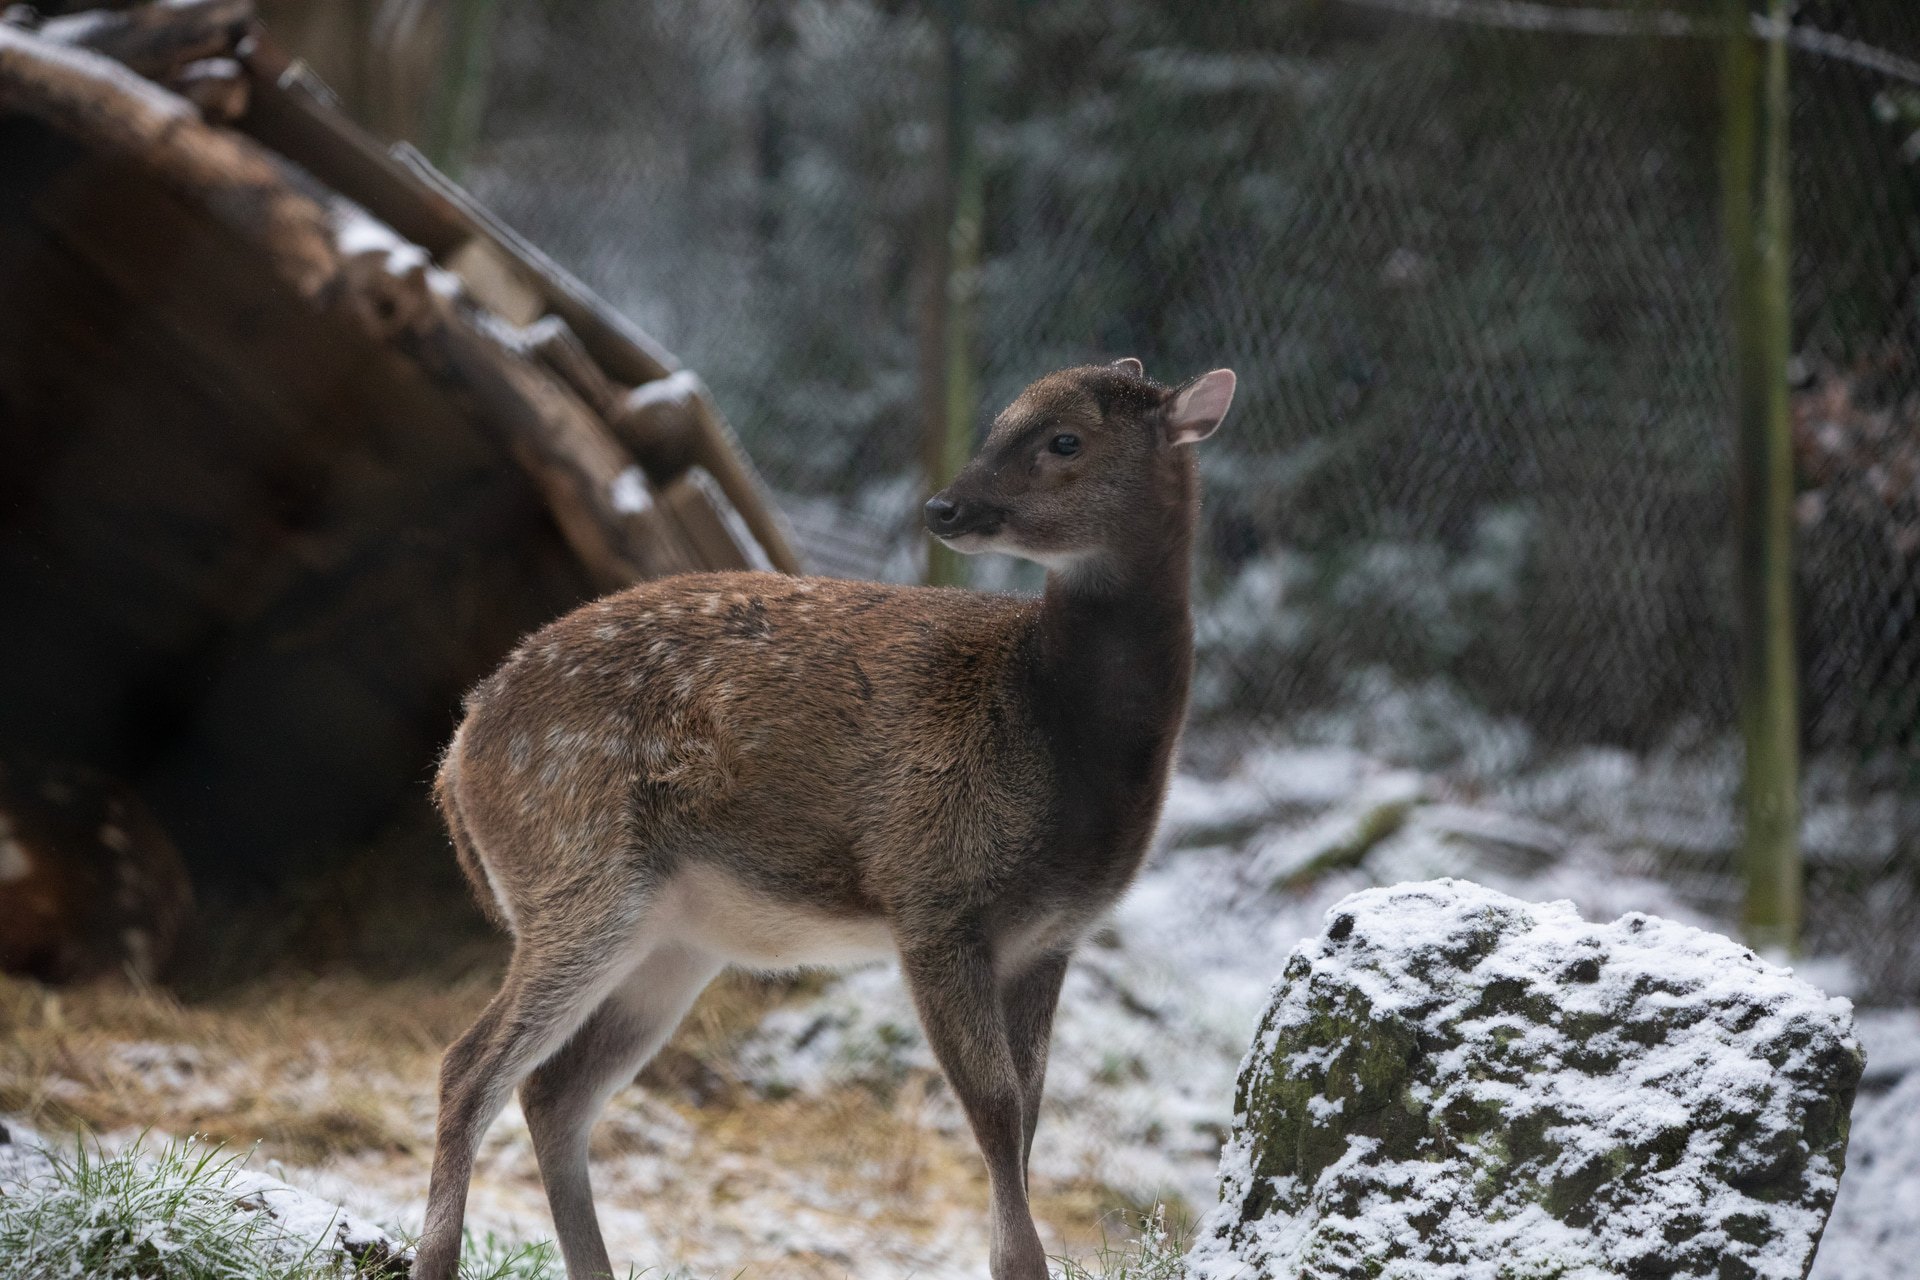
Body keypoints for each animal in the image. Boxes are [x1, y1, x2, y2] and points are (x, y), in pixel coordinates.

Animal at [412, 359, 1236, 1280]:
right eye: (998, 424)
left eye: (1065, 440)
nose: (944, 508)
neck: (1062, 740)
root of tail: (458, 754)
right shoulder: (931, 891)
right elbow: (993, 1109)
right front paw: (1023, 1265)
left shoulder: (1051, 936)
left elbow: (1027, 1116)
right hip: (575, 874)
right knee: (468, 1066)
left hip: (671, 938)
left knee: (555, 1091)